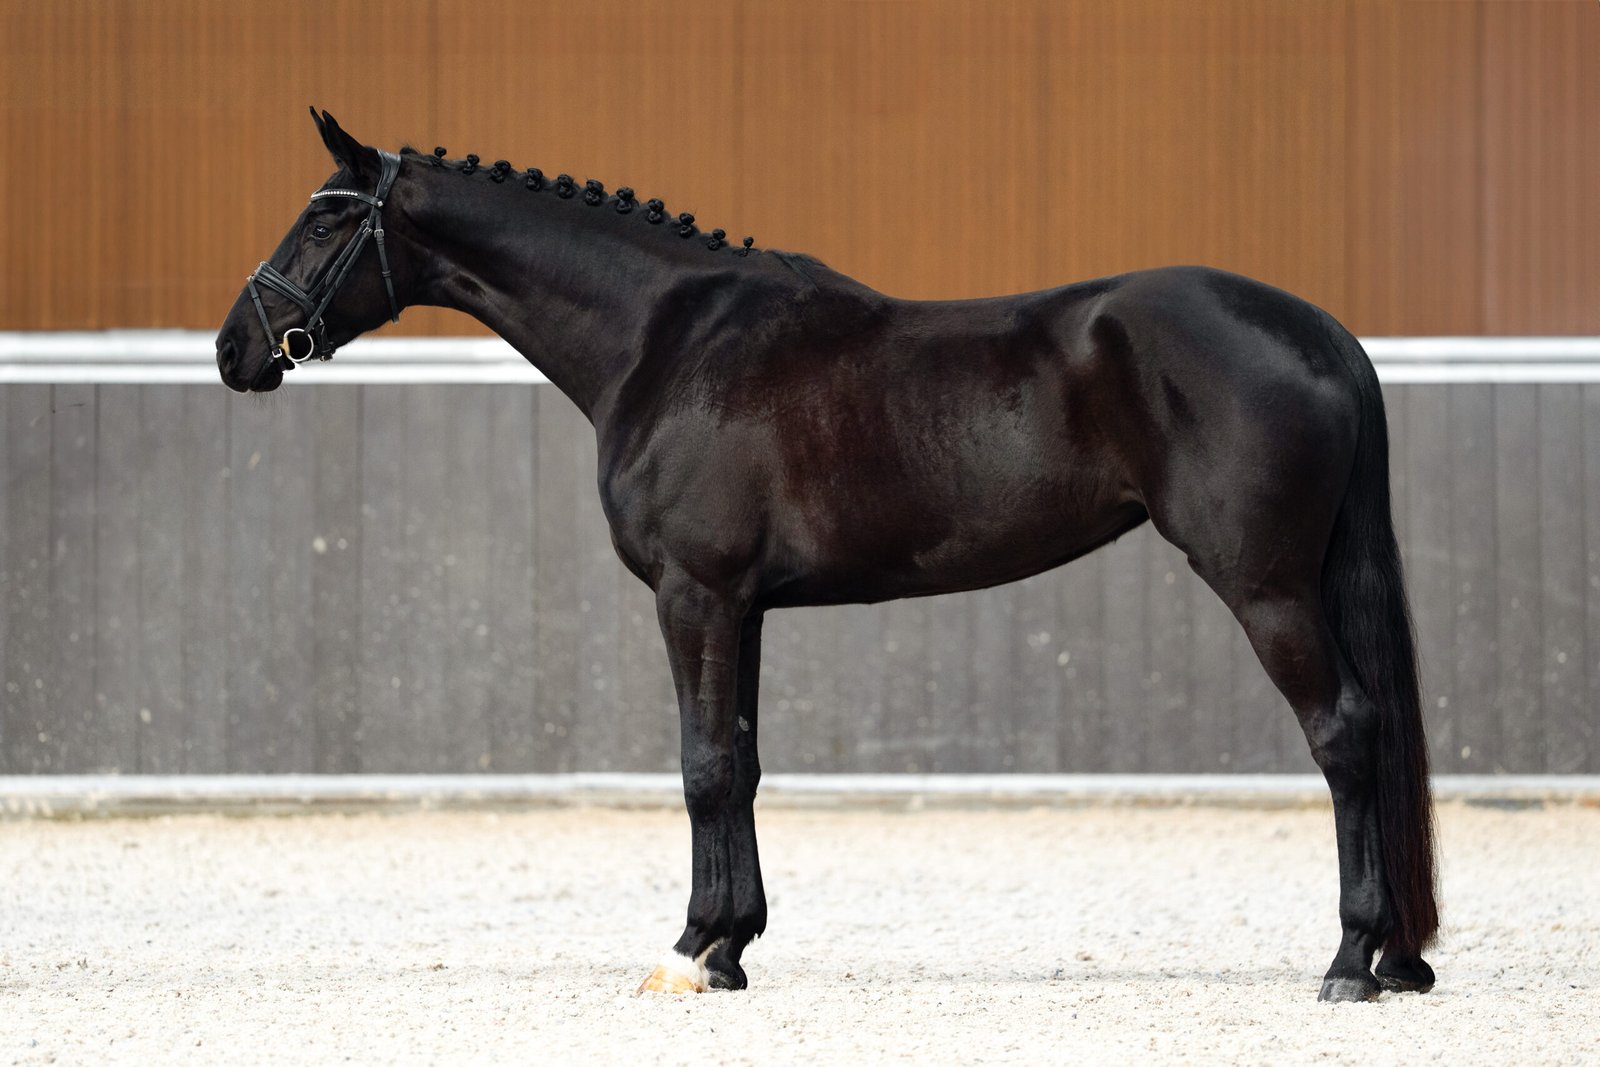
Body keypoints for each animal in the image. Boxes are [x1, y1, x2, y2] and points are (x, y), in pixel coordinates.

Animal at [216, 109, 1438, 1003]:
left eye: (325, 222)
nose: (236, 349)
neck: (662, 339)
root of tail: (1319, 331)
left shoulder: (694, 596)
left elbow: (703, 765)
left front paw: (689, 951)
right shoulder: (743, 606)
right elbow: (743, 762)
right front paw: (731, 945)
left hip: (1264, 586)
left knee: (1344, 731)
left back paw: (1349, 961)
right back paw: (1398, 957)